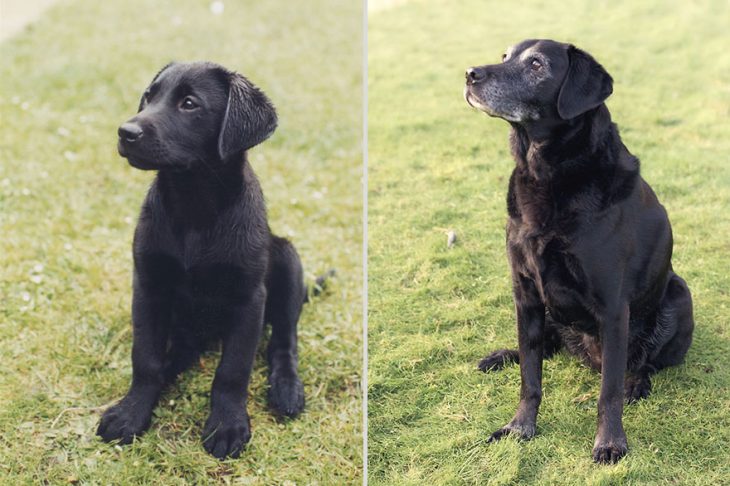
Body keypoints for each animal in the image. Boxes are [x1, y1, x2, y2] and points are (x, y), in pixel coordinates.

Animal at [96, 61, 310, 460]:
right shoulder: (148, 286)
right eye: (148, 97)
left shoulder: (248, 298)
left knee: (284, 339)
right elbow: (145, 358)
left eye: (189, 104)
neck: (192, 205)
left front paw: (227, 425)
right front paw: (132, 411)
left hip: (288, 260)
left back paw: (286, 388)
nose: (125, 132)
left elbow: (232, 371)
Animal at [464, 40, 692, 464]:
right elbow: (530, 378)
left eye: (537, 65)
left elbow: (608, 392)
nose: (470, 73)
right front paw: (519, 427)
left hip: (678, 293)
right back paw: (502, 356)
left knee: (643, 364)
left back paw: (636, 383)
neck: (546, 172)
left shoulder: (613, 307)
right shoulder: (526, 295)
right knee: (544, 347)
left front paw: (610, 443)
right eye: (505, 57)